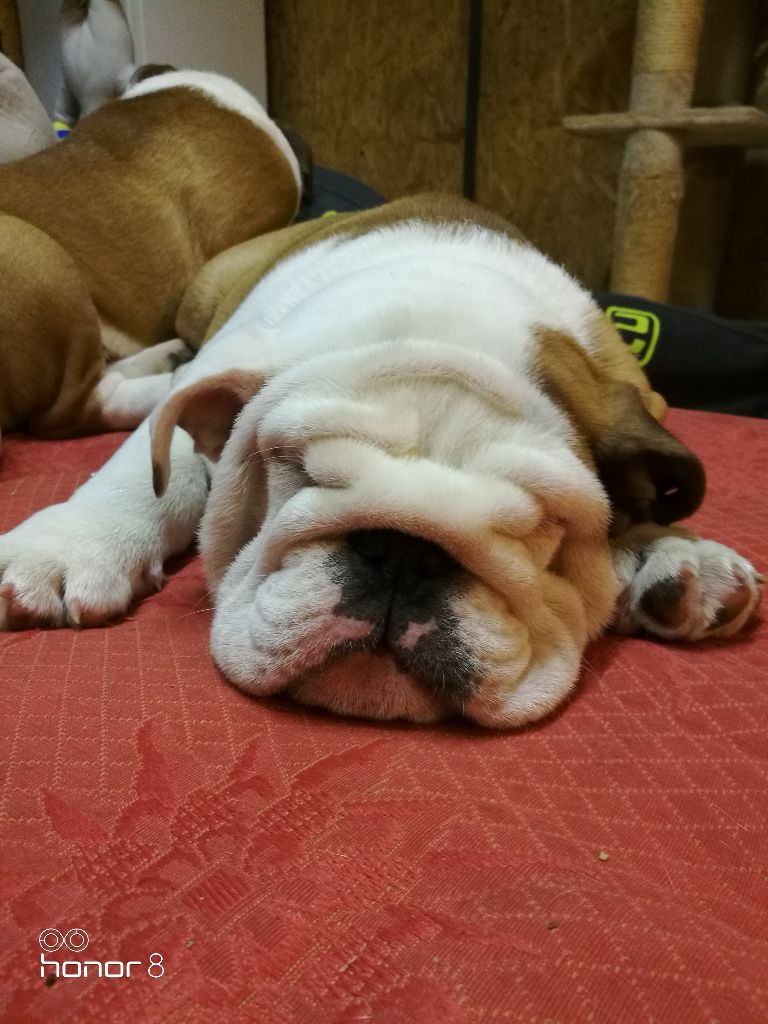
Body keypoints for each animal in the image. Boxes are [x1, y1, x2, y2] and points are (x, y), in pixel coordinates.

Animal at [0, 195, 762, 727]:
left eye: (538, 525)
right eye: (293, 469)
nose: (401, 551)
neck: (446, 327)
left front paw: (673, 551)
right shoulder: (229, 364)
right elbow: (153, 468)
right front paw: (65, 546)